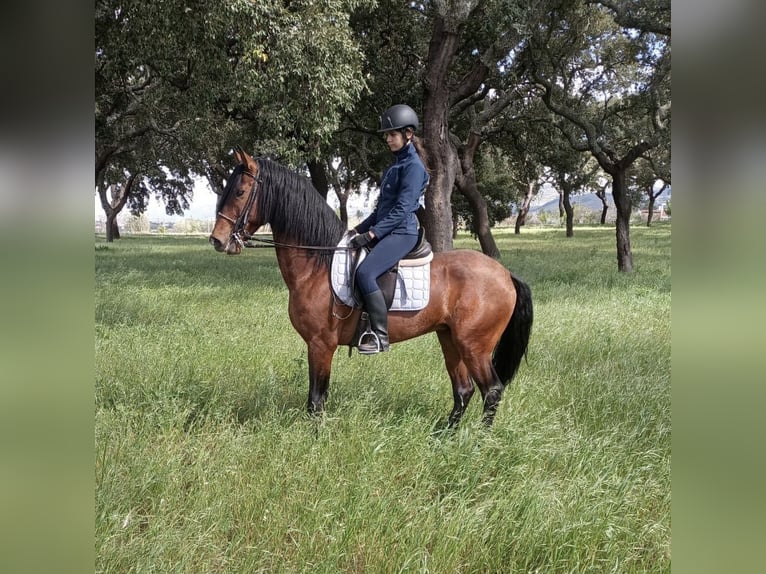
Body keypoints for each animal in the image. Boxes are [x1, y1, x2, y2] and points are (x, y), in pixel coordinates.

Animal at [210, 148, 536, 428]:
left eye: (239, 192)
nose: (217, 240)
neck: (317, 264)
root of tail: (505, 275)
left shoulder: (321, 344)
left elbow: (316, 399)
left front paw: (316, 439)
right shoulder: (316, 345)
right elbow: (316, 398)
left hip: (475, 346)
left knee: (491, 390)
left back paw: (479, 441)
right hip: (449, 338)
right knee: (463, 389)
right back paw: (444, 436)